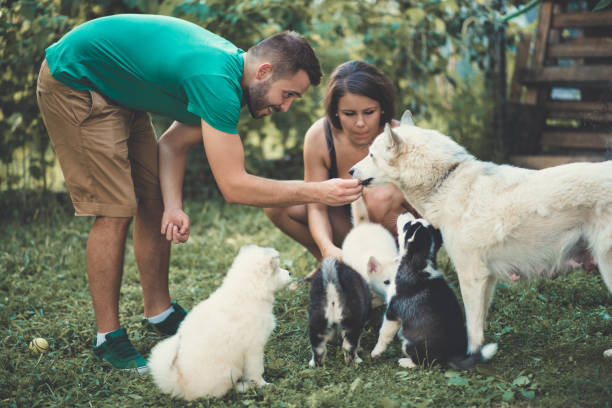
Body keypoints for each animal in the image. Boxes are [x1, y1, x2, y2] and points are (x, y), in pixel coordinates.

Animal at [148, 244, 292, 400]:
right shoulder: (254, 348)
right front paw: (264, 385)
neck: (248, 291)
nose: (290, 272)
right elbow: (256, 371)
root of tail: (181, 384)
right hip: (230, 369)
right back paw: (243, 387)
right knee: (224, 391)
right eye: (277, 268)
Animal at [368, 214, 498, 370]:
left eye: (408, 225)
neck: (420, 263)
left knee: (424, 362)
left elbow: (384, 333)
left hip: (409, 344)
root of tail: (451, 355)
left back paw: (405, 362)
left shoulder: (393, 311)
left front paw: (376, 351)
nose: (404, 213)